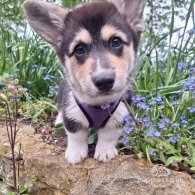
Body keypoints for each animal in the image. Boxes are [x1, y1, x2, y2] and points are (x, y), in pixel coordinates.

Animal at [23, 0, 145, 165]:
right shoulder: (71, 111)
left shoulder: (120, 115)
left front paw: (105, 151)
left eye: (116, 41)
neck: (99, 104)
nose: (104, 81)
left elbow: (109, 135)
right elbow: (76, 134)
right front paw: (75, 153)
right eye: (79, 48)